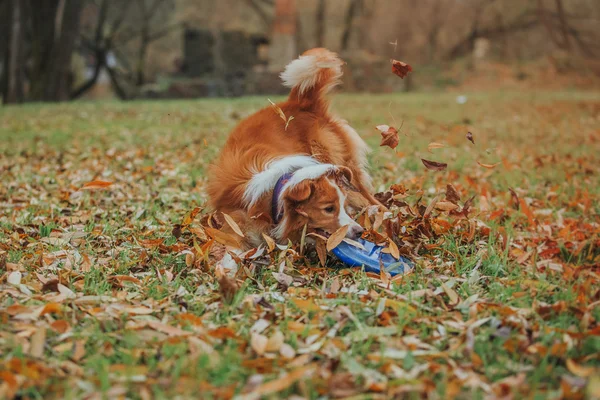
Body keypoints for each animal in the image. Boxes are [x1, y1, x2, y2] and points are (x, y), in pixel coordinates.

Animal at [209, 48, 380, 248]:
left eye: (342, 208)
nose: (359, 231)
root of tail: (300, 103)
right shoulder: (233, 223)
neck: (272, 196)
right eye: (329, 209)